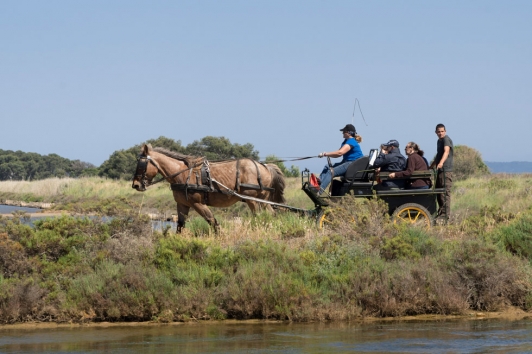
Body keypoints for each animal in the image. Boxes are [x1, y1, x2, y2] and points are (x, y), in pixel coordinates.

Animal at [130, 144, 284, 232]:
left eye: (141, 164)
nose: (135, 185)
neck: (183, 174)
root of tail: (265, 166)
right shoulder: (182, 204)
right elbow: (180, 226)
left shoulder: (198, 203)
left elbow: (213, 223)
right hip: (263, 201)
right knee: (271, 215)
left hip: (252, 200)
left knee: (259, 217)